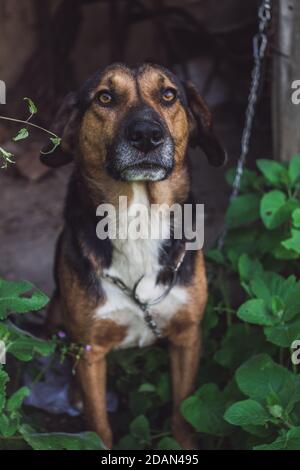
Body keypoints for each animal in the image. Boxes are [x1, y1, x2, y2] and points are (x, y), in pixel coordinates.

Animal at [41, 62, 226, 448]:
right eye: (105, 97)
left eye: (168, 94)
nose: (146, 135)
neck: (139, 219)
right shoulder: (91, 350)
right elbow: (99, 425)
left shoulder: (188, 336)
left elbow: (182, 412)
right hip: (55, 313)